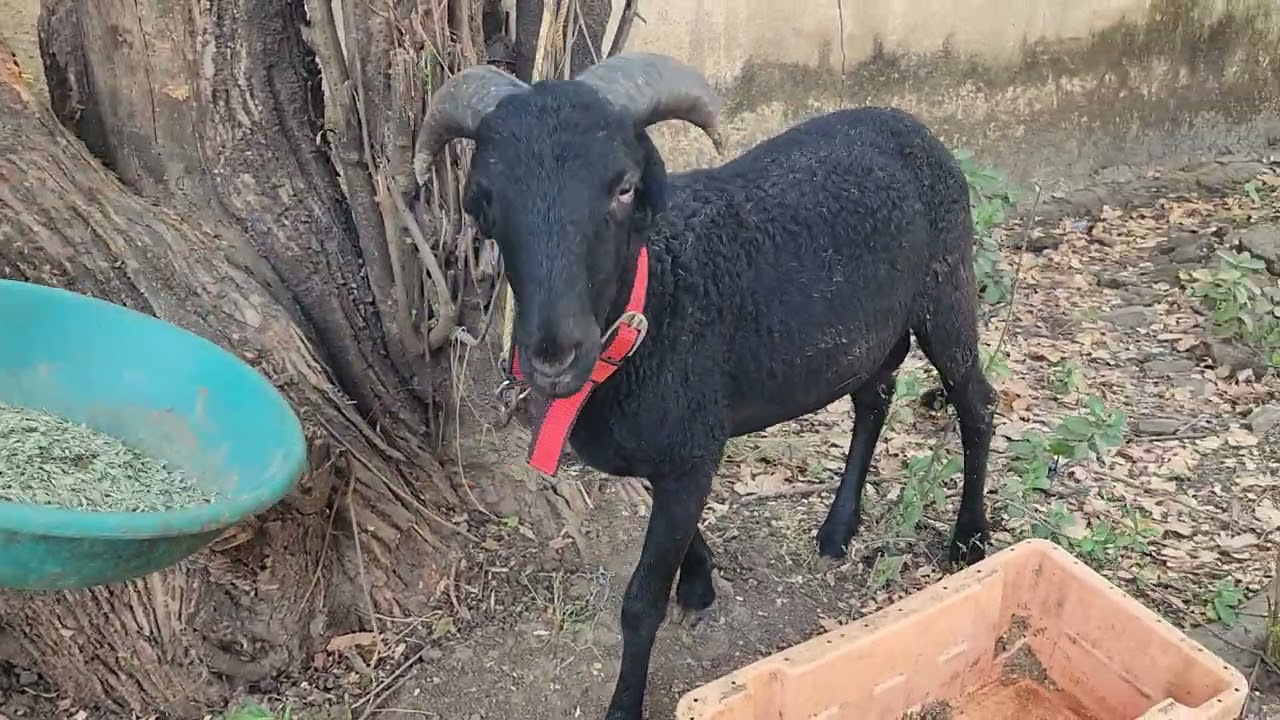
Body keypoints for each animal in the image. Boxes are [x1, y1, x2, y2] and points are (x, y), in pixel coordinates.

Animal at [413, 51, 996, 720]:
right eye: (481, 201)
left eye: (624, 186)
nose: (553, 354)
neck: (656, 300)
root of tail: (906, 121)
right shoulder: (677, 449)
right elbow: (679, 530)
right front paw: (699, 582)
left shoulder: (693, 445)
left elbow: (641, 600)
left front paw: (626, 702)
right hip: (872, 332)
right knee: (873, 399)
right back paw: (838, 529)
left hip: (946, 286)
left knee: (977, 404)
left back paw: (969, 539)